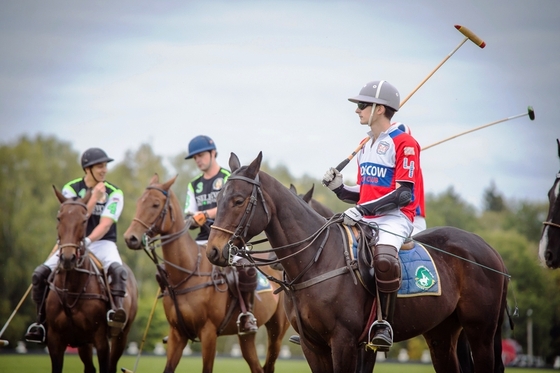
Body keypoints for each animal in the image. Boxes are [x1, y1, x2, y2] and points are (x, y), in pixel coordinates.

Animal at [46, 186, 138, 372]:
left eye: (84, 220)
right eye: (59, 218)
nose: (68, 258)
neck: (71, 290)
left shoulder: (101, 340)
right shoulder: (55, 341)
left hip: (121, 336)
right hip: (83, 343)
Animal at [122, 174, 288, 372]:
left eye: (155, 204)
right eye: (139, 202)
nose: (130, 238)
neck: (187, 276)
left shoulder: (208, 333)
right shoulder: (177, 334)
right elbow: (168, 368)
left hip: (277, 330)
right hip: (246, 337)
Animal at [207, 151, 512, 372]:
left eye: (238, 200)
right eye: (218, 198)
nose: (213, 251)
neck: (316, 260)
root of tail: (491, 250)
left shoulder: (345, 341)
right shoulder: (312, 345)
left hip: (481, 332)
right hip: (442, 332)